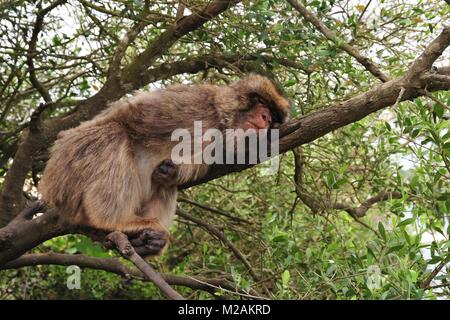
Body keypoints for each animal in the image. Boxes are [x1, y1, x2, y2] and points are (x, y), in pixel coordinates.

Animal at [39, 74, 292, 254]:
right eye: (260, 103)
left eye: (271, 114)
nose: (266, 118)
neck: (221, 124)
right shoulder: (194, 105)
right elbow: (129, 112)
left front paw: (176, 171)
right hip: (68, 172)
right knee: (112, 133)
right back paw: (113, 219)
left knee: (164, 183)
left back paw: (148, 242)